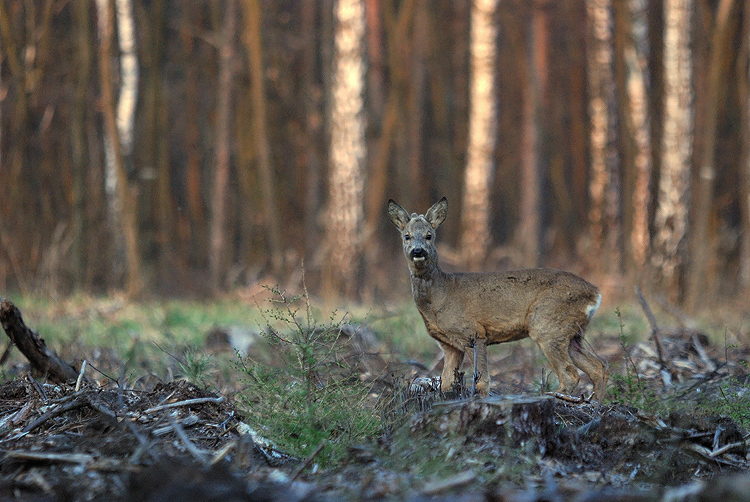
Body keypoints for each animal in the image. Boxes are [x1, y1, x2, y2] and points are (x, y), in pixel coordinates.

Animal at [390, 196, 608, 400]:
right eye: (407, 236)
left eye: (429, 236)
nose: (418, 251)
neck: (439, 297)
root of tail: (595, 293)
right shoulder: (450, 346)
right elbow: (446, 384)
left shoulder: (474, 333)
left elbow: (482, 380)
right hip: (573, 333)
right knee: (599, 367)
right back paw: (593, 402)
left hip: (548, 324)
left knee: (571, 374)